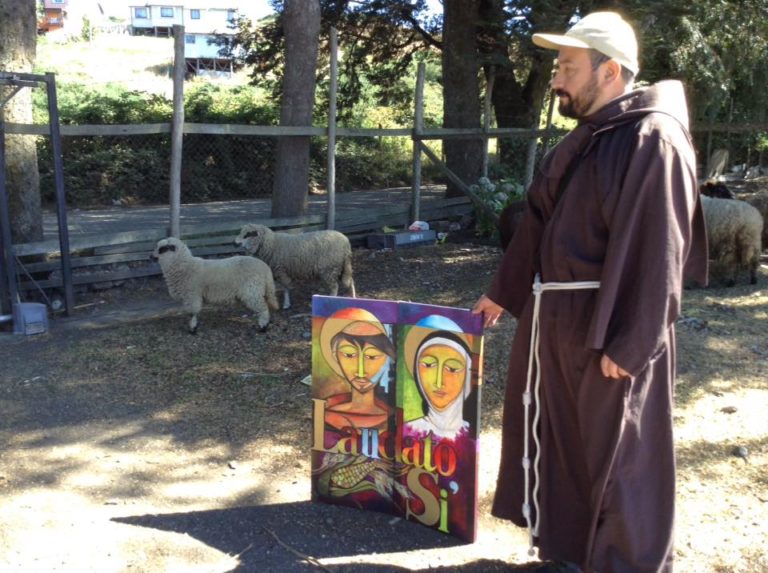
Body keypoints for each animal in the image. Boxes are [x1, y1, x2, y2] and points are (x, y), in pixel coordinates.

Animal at [152, 236, 280, 332]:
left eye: (162, 249)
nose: (151, 257)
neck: (184, 266)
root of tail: (265, 268)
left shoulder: (192, 295)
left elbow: (192, 313)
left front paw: (193, 328)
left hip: (252, 290)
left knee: (263, 308)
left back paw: (263, 327)